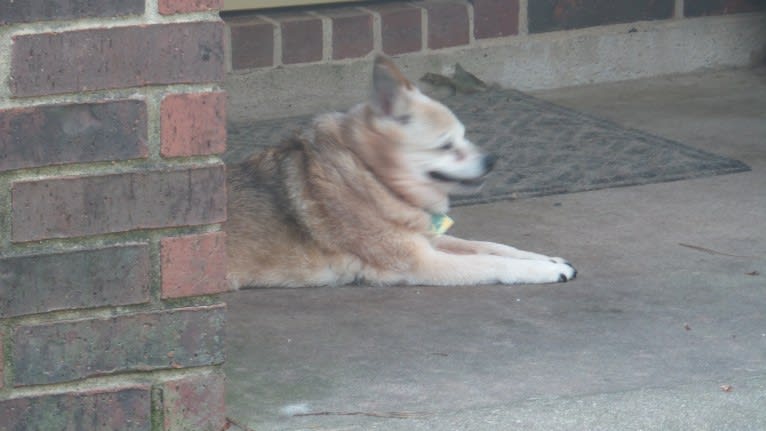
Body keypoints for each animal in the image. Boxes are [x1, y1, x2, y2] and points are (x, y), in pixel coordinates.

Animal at [226, 55, 576, 288]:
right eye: (446, 145)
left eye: (464, 135)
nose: (492, 160)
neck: (372, 177)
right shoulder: (422, 262)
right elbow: (491, 261)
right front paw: (544, 271)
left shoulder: (427, 239)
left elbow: (490, 245)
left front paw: (545, 259)